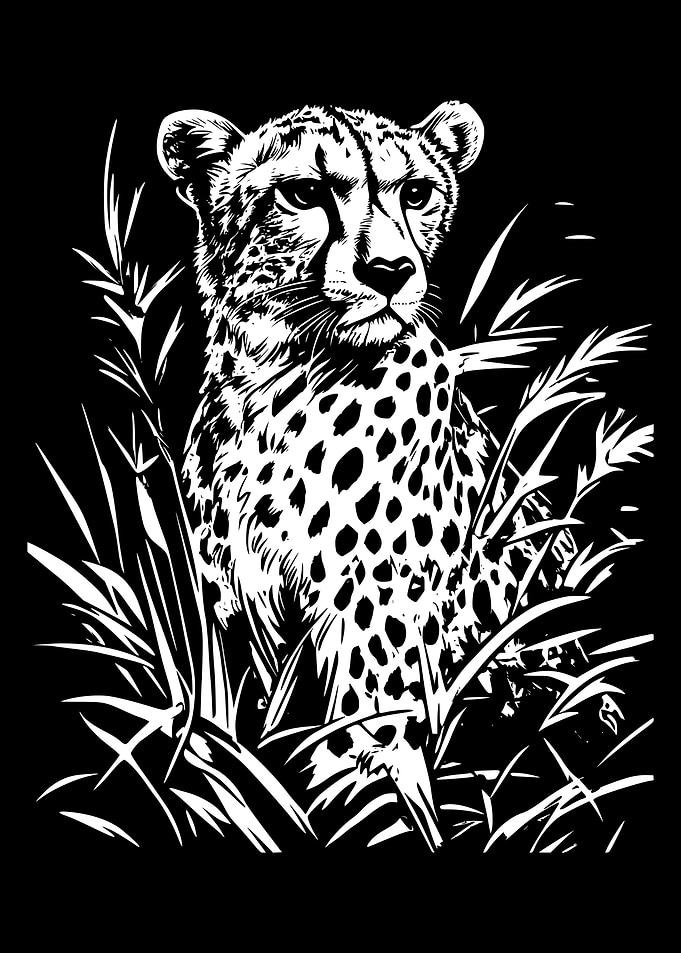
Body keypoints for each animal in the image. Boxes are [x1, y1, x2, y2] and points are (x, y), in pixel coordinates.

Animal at [158, 102, 577, 850]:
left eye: (416, 192)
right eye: (303, 193)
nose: (390, 270)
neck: (280, 379)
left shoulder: (374, 624)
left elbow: (363, 759)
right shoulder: (236, 609)